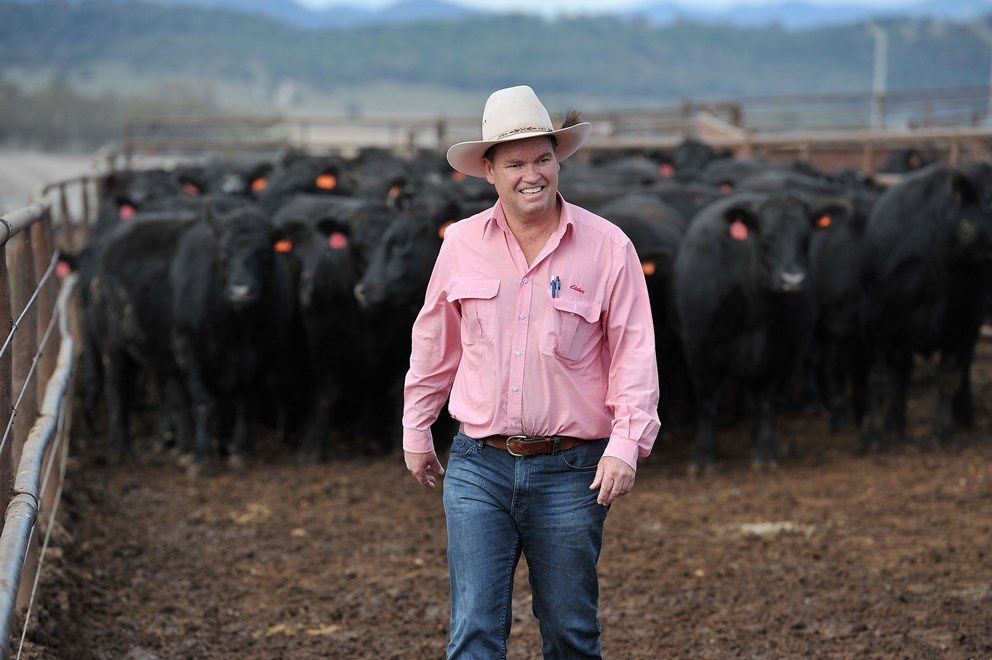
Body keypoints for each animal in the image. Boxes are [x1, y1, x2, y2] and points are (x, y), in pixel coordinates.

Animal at [860, 166, 992, 454]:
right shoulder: (879, 324)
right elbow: (884, 377)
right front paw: (879, 431)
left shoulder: (964, 323)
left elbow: (950, 376)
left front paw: (943, 432)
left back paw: (964, 416)